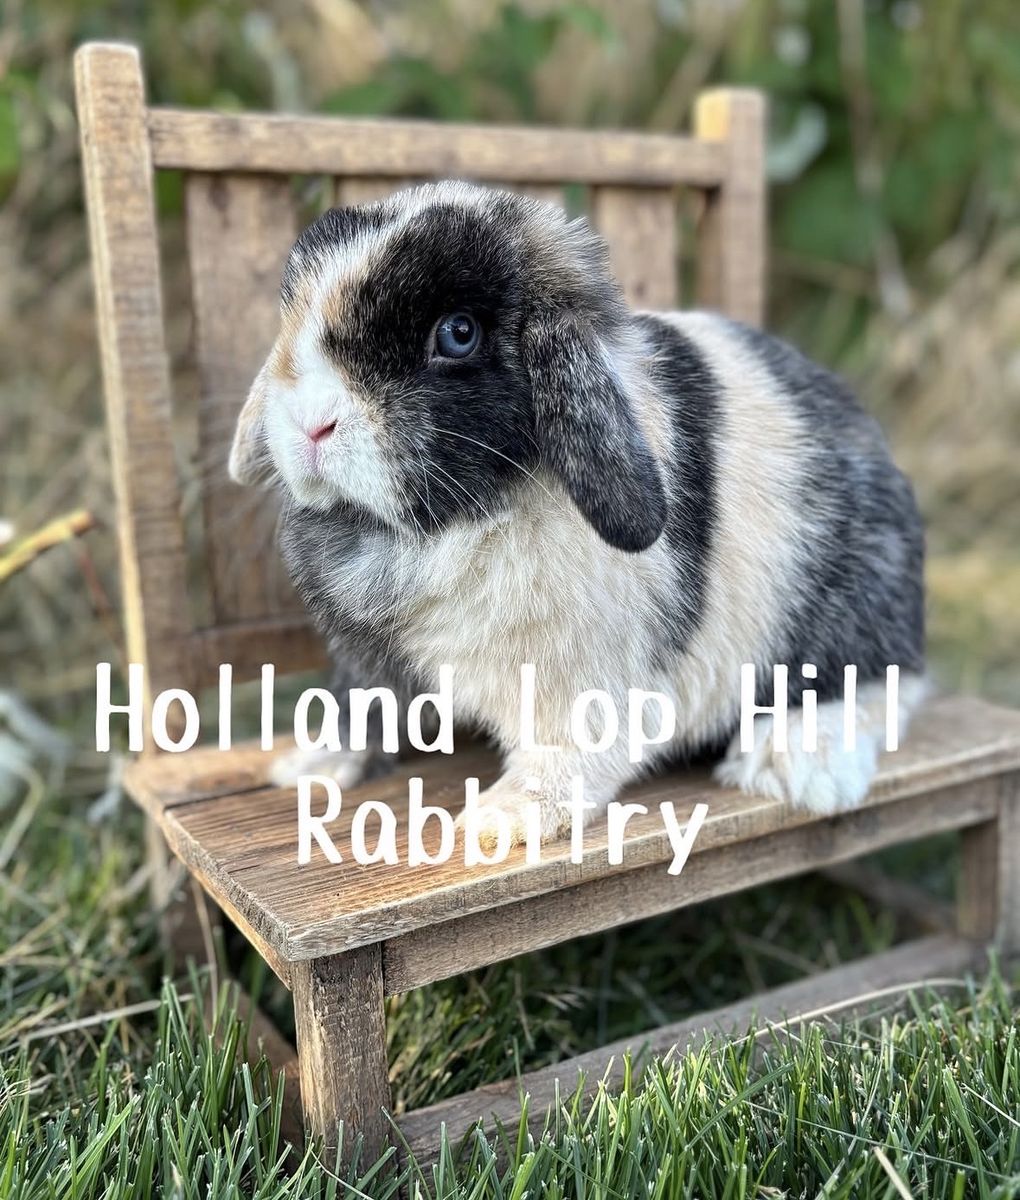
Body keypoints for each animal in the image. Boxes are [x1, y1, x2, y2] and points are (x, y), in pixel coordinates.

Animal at [229, 180, 926, 846]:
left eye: (457, 333)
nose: (309, 423)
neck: (450, 523)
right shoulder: (369, 662)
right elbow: (361, 708)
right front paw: (312, 767)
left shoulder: (583, 683)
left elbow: (567, 754)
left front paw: (505, 821)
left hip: (848, 611)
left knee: (884, 684)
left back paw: (793, 764)